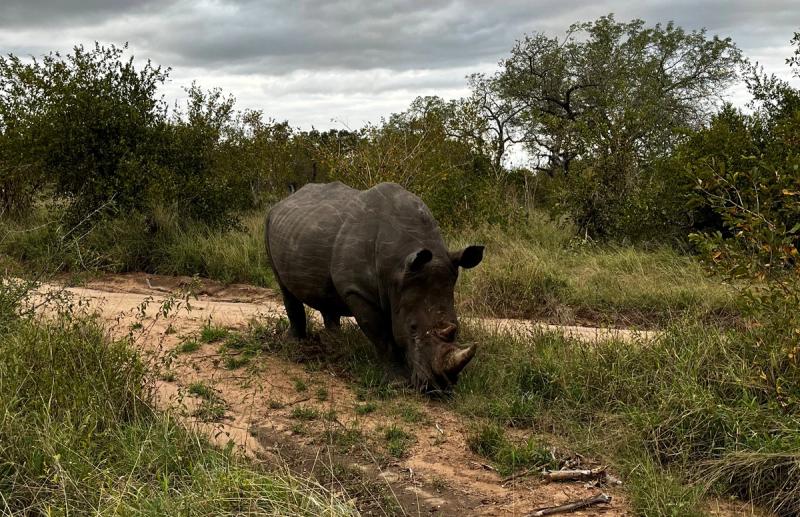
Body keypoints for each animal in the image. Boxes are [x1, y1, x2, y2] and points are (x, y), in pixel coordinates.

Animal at [265, 181, 484, 392]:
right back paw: (296, 344)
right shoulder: (357, 290)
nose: (441, 387)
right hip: (269, 223)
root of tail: (282, 201)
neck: (398, 266)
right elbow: (382, 336)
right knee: (285, 288)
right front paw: (398, 383)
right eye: (412, 327)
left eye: (456, 326)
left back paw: (335, 344)